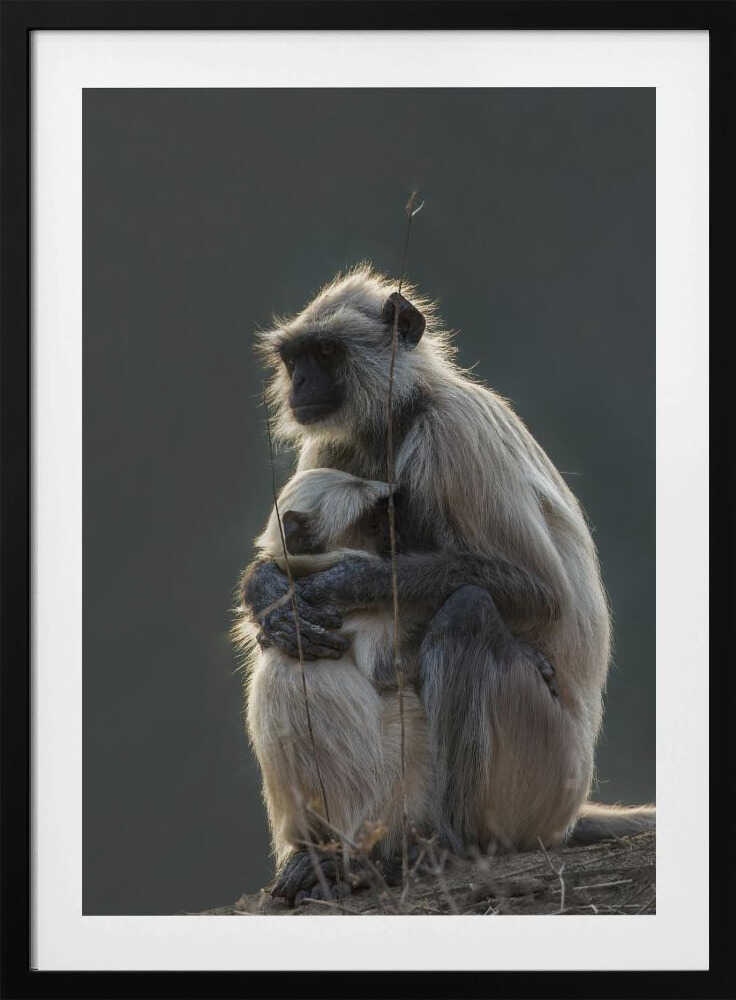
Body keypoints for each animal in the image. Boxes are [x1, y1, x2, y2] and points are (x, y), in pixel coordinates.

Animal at [238, 265, 655, 903]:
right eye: (296, 357)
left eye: (327, 353)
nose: (301, 382)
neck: (403, 410)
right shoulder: (331, 442)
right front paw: (270, 596)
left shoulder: (452, 433)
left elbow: (539, 592)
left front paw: (340, 583)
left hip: (542, 771)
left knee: (470, 610)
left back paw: (449, 847)